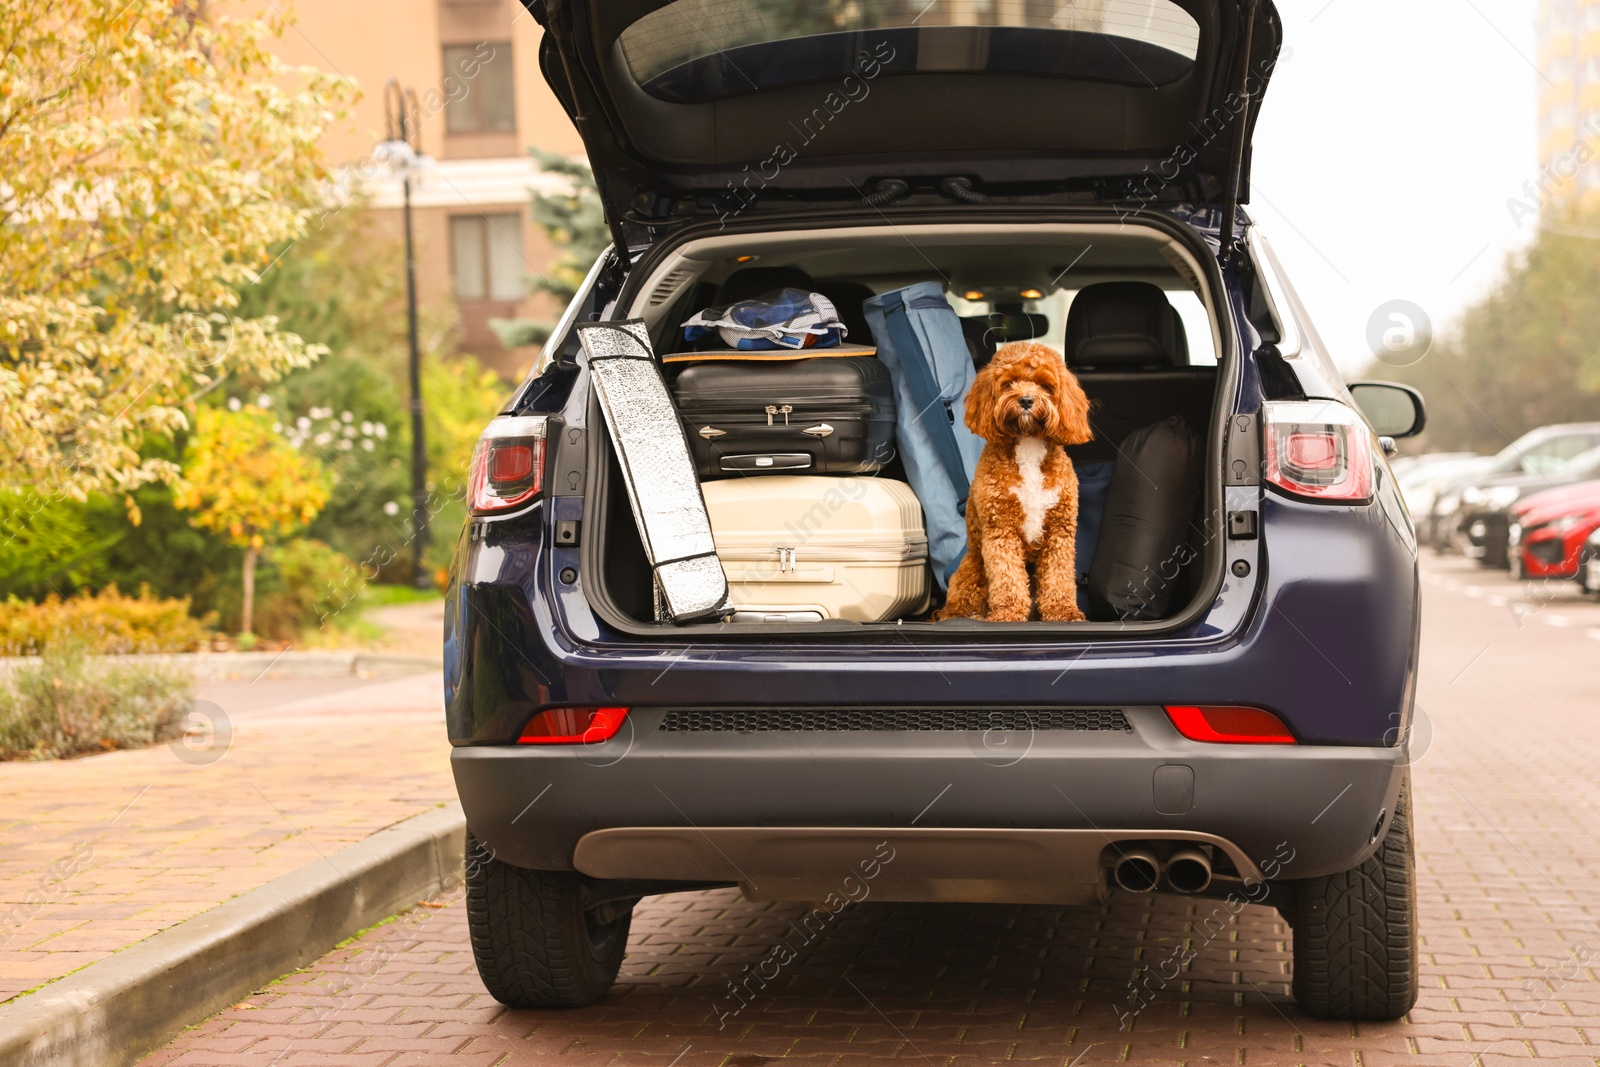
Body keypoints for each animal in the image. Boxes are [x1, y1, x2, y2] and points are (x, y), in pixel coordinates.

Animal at [940, 342, 1094, 627]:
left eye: (1045, 385)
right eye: (1009, 383)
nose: (1025, 400)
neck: (1029, 442)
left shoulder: (1059, 529)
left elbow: (1058, 576)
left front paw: (1063, 612)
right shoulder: (1000, 527)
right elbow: (1007, 575)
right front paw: (1008, 613)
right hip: (970, 574)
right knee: (960, 606)